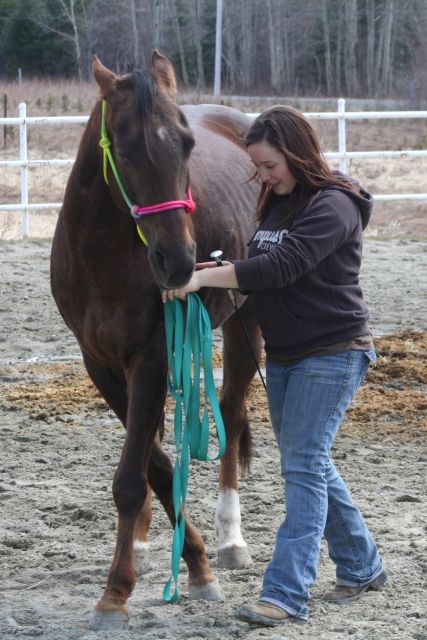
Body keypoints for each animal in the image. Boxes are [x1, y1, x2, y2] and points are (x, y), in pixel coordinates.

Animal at [51, 51, 262, 632]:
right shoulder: (100, 364)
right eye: (124, 149)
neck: (103, 252)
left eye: (187, 145)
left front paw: (117, 593)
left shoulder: (149, 357)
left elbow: (134, 474)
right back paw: (149, 545)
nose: (180, 262)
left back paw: (232, 539)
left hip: (245, 325)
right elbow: (154, 465)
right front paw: (185, 560)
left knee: (231, 415)